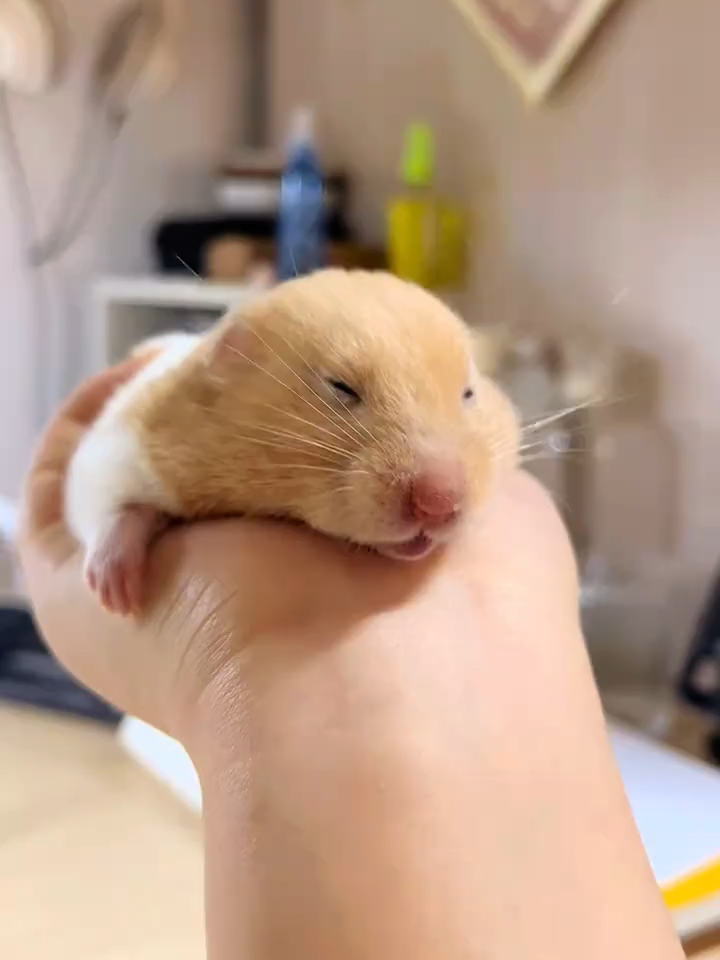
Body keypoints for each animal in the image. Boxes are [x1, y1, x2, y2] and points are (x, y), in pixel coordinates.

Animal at [65, 269, 520, 615]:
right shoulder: (118, 443)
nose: (439, 505)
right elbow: (105, 501)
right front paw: (117, 597)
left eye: (468, 393)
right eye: (340, 387)